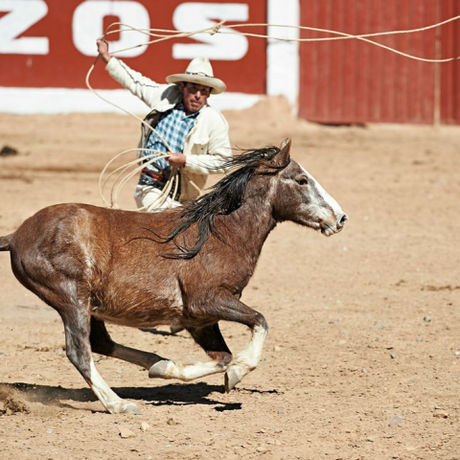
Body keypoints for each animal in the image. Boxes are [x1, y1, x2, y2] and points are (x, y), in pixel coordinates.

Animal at [0, 139, 344, 414]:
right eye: (301, 180)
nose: (340, 218)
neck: (221, 233)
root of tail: (16, 235)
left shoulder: (200, 320)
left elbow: (222, 356)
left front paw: (168, 370)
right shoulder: (208, 302)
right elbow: (259, 322)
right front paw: (237, 373)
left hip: (89, 306)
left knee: (100, 343)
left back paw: (154, 362)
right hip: (71, 298)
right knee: (80, 351)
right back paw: (119, 404)